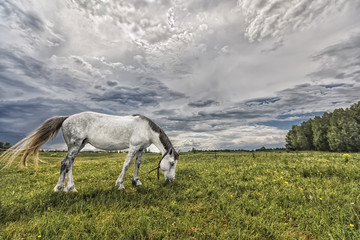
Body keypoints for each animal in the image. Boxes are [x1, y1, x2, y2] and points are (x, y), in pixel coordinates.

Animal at [1, 111, 179, 192]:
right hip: (75, 145)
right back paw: (65, 188)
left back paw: (65, 187)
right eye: (171, 163)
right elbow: (127, 164)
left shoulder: (140, 149)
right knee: (66, 163)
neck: (146, 128)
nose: (171, 181)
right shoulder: (133, 147)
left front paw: (136, 181)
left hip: (78, 145)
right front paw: (120, 185)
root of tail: (66, 118)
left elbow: (137, 165)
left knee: (68, 164)